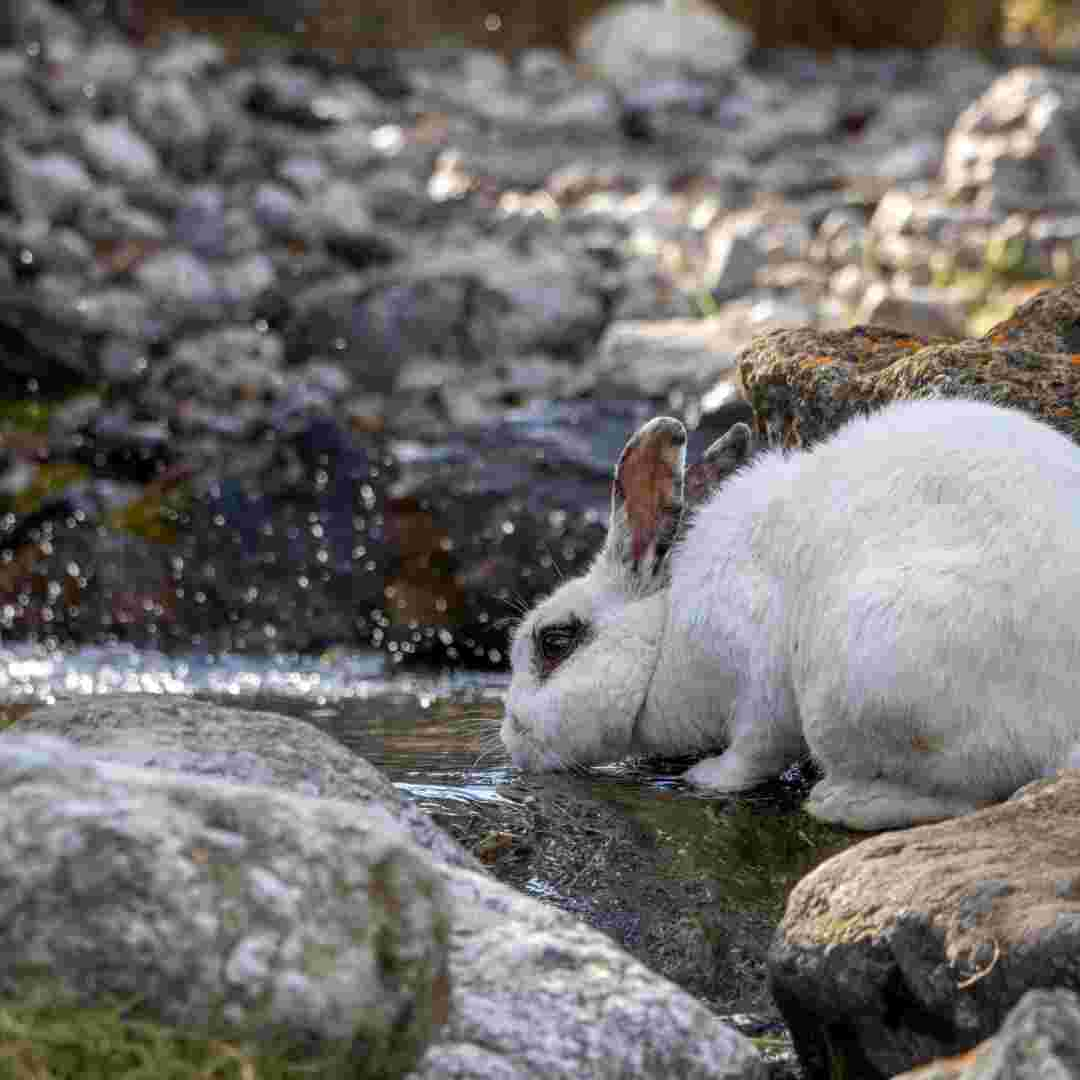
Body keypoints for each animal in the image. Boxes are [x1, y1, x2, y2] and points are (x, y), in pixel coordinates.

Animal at [503, 401, 1080, 829]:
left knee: (970, 797)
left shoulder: (758, 678)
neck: (667, 631)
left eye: (554, 642)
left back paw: (840, 800)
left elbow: (755, 749)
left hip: (858, 686)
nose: (510, 736)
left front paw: (707, 777)